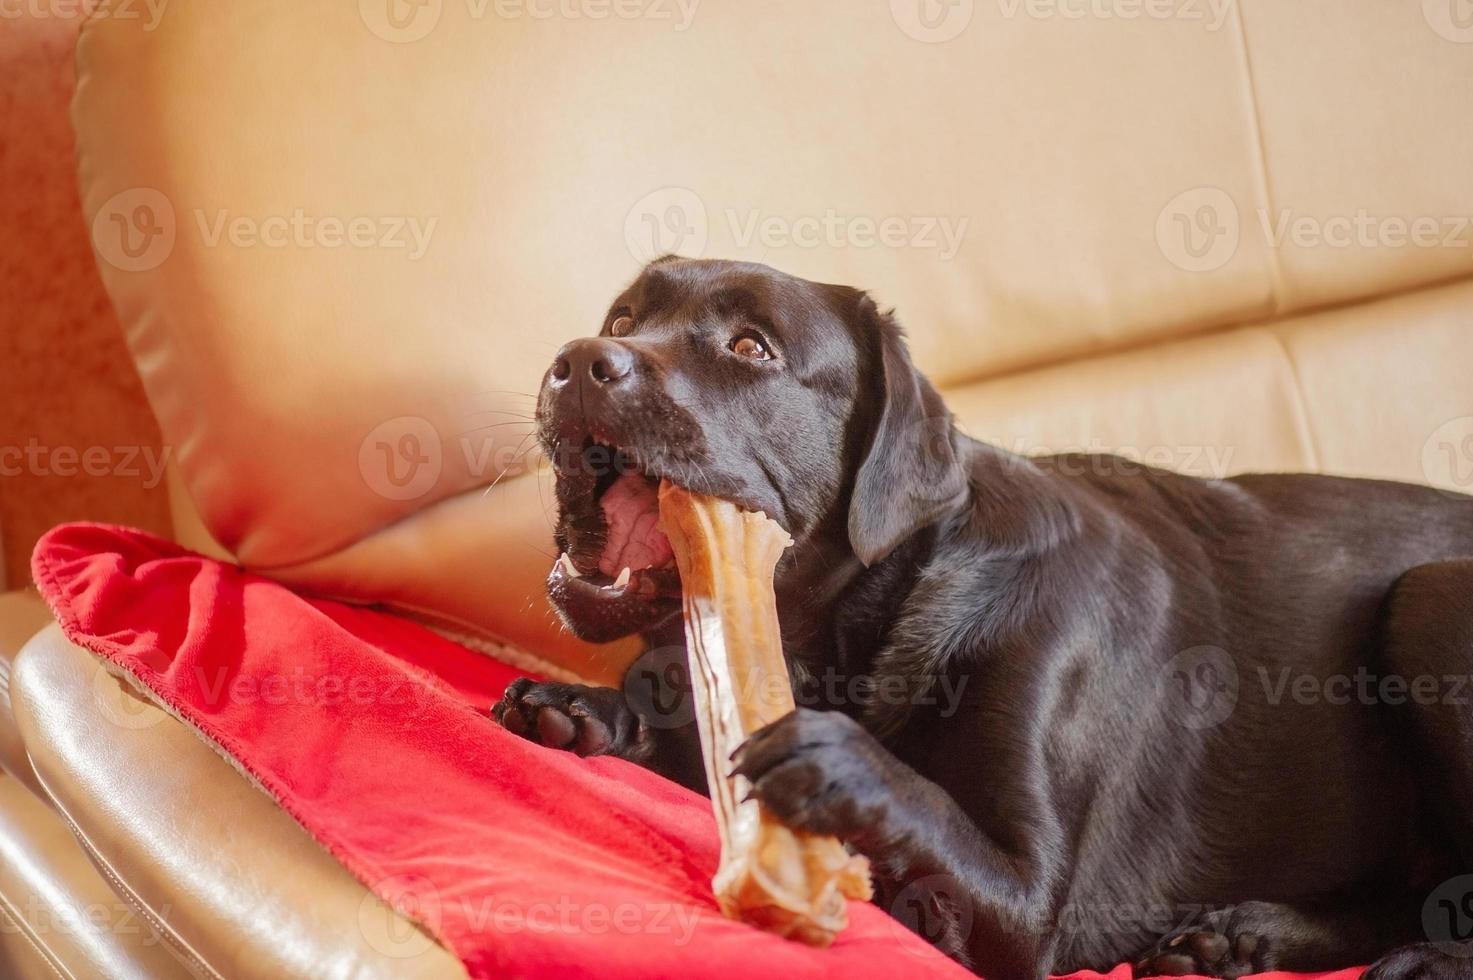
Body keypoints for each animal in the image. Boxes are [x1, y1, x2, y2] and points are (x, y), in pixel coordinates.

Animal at [491, 253, 1473, 978]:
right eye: (625, 319)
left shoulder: (1031, 907)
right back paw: (1242, 936)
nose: (579, 361)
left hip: (1429, 597)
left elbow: (926, 814)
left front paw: (838, 761)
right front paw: (583, 707)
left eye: (751, 347)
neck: (861, 629)